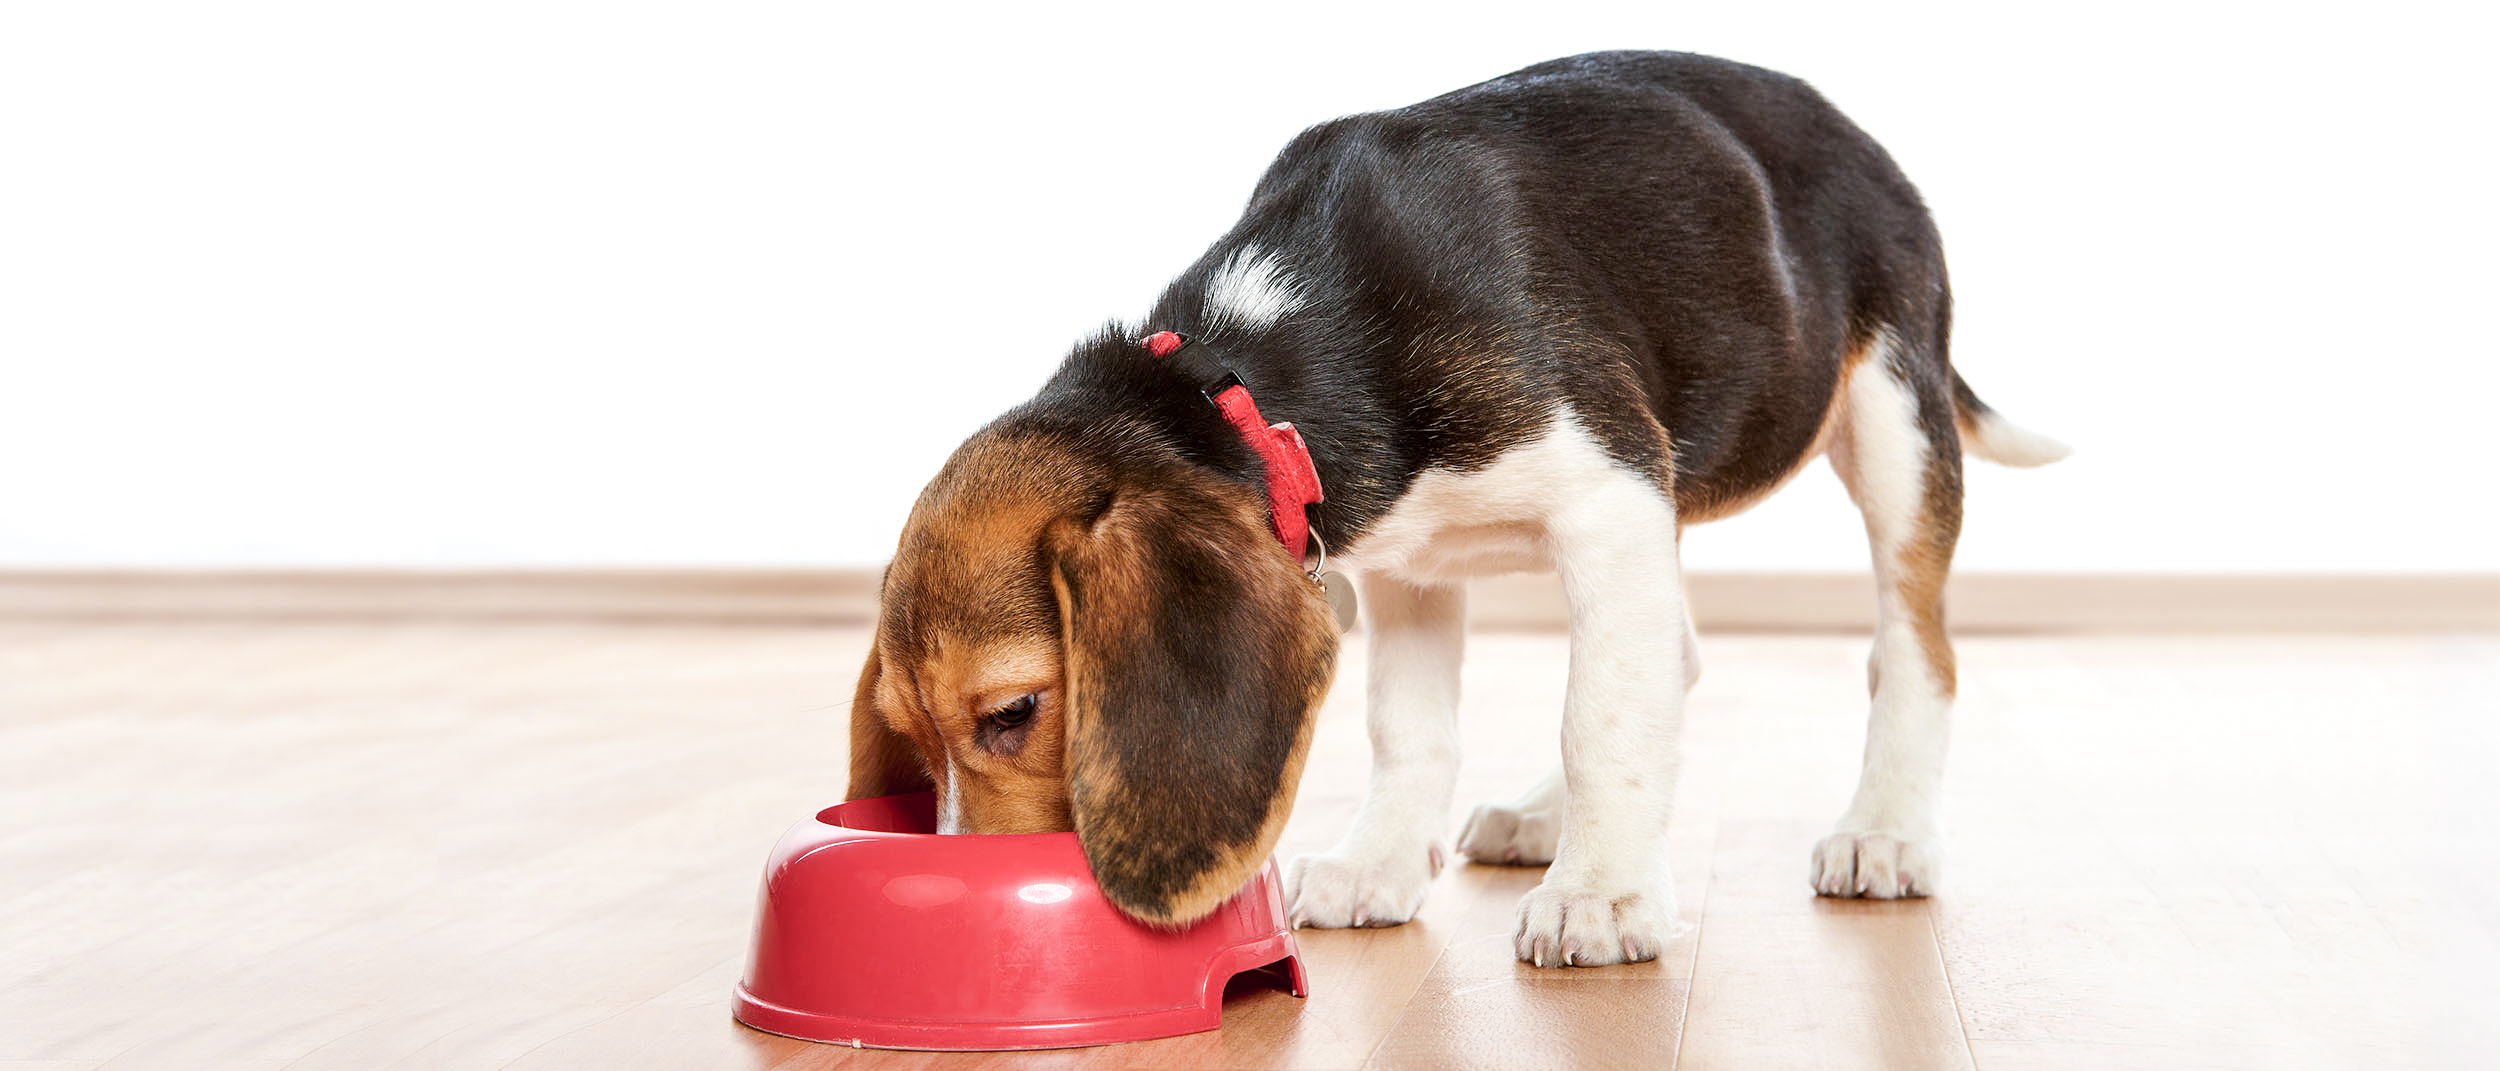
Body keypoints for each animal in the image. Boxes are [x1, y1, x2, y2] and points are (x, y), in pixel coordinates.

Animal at [845, 50, 2070, 965]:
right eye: (907, 732)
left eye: (1014, 712)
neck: (1244, 370)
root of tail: (1853, 127)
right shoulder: (1407, 564)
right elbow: (1414, 728)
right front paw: (1384, 863)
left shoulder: (1607, 495)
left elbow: (1600, 716)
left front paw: (1604, 897)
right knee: (1669, 653)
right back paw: (1541, 819)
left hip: (1891, 418)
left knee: (1911, 650)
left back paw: (1882, 831)